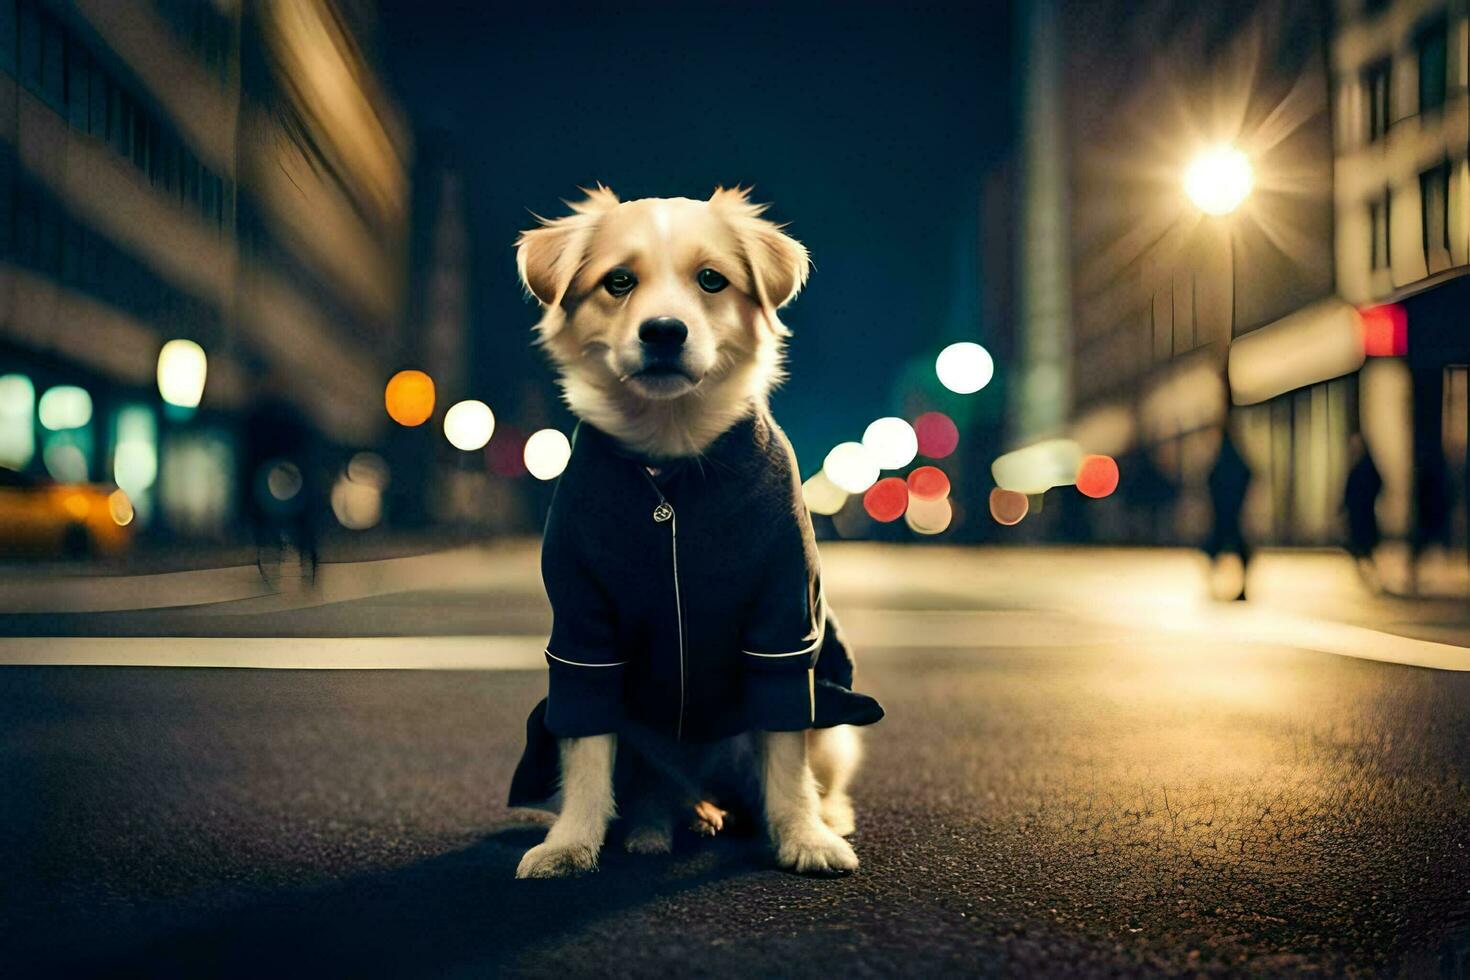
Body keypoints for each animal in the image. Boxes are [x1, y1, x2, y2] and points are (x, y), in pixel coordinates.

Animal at [511, 188, 876, 875]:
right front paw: (571, 843)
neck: (672, 455)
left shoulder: (782, 626)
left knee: (806, 773)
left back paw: (821, 816)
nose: (663, 330)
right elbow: (586, 754)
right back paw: (661, 825)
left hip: (835, 730)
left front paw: (804, 836)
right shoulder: (583, 633)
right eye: (618, 282)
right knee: (657, 788)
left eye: (712, 280)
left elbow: (786, 756)